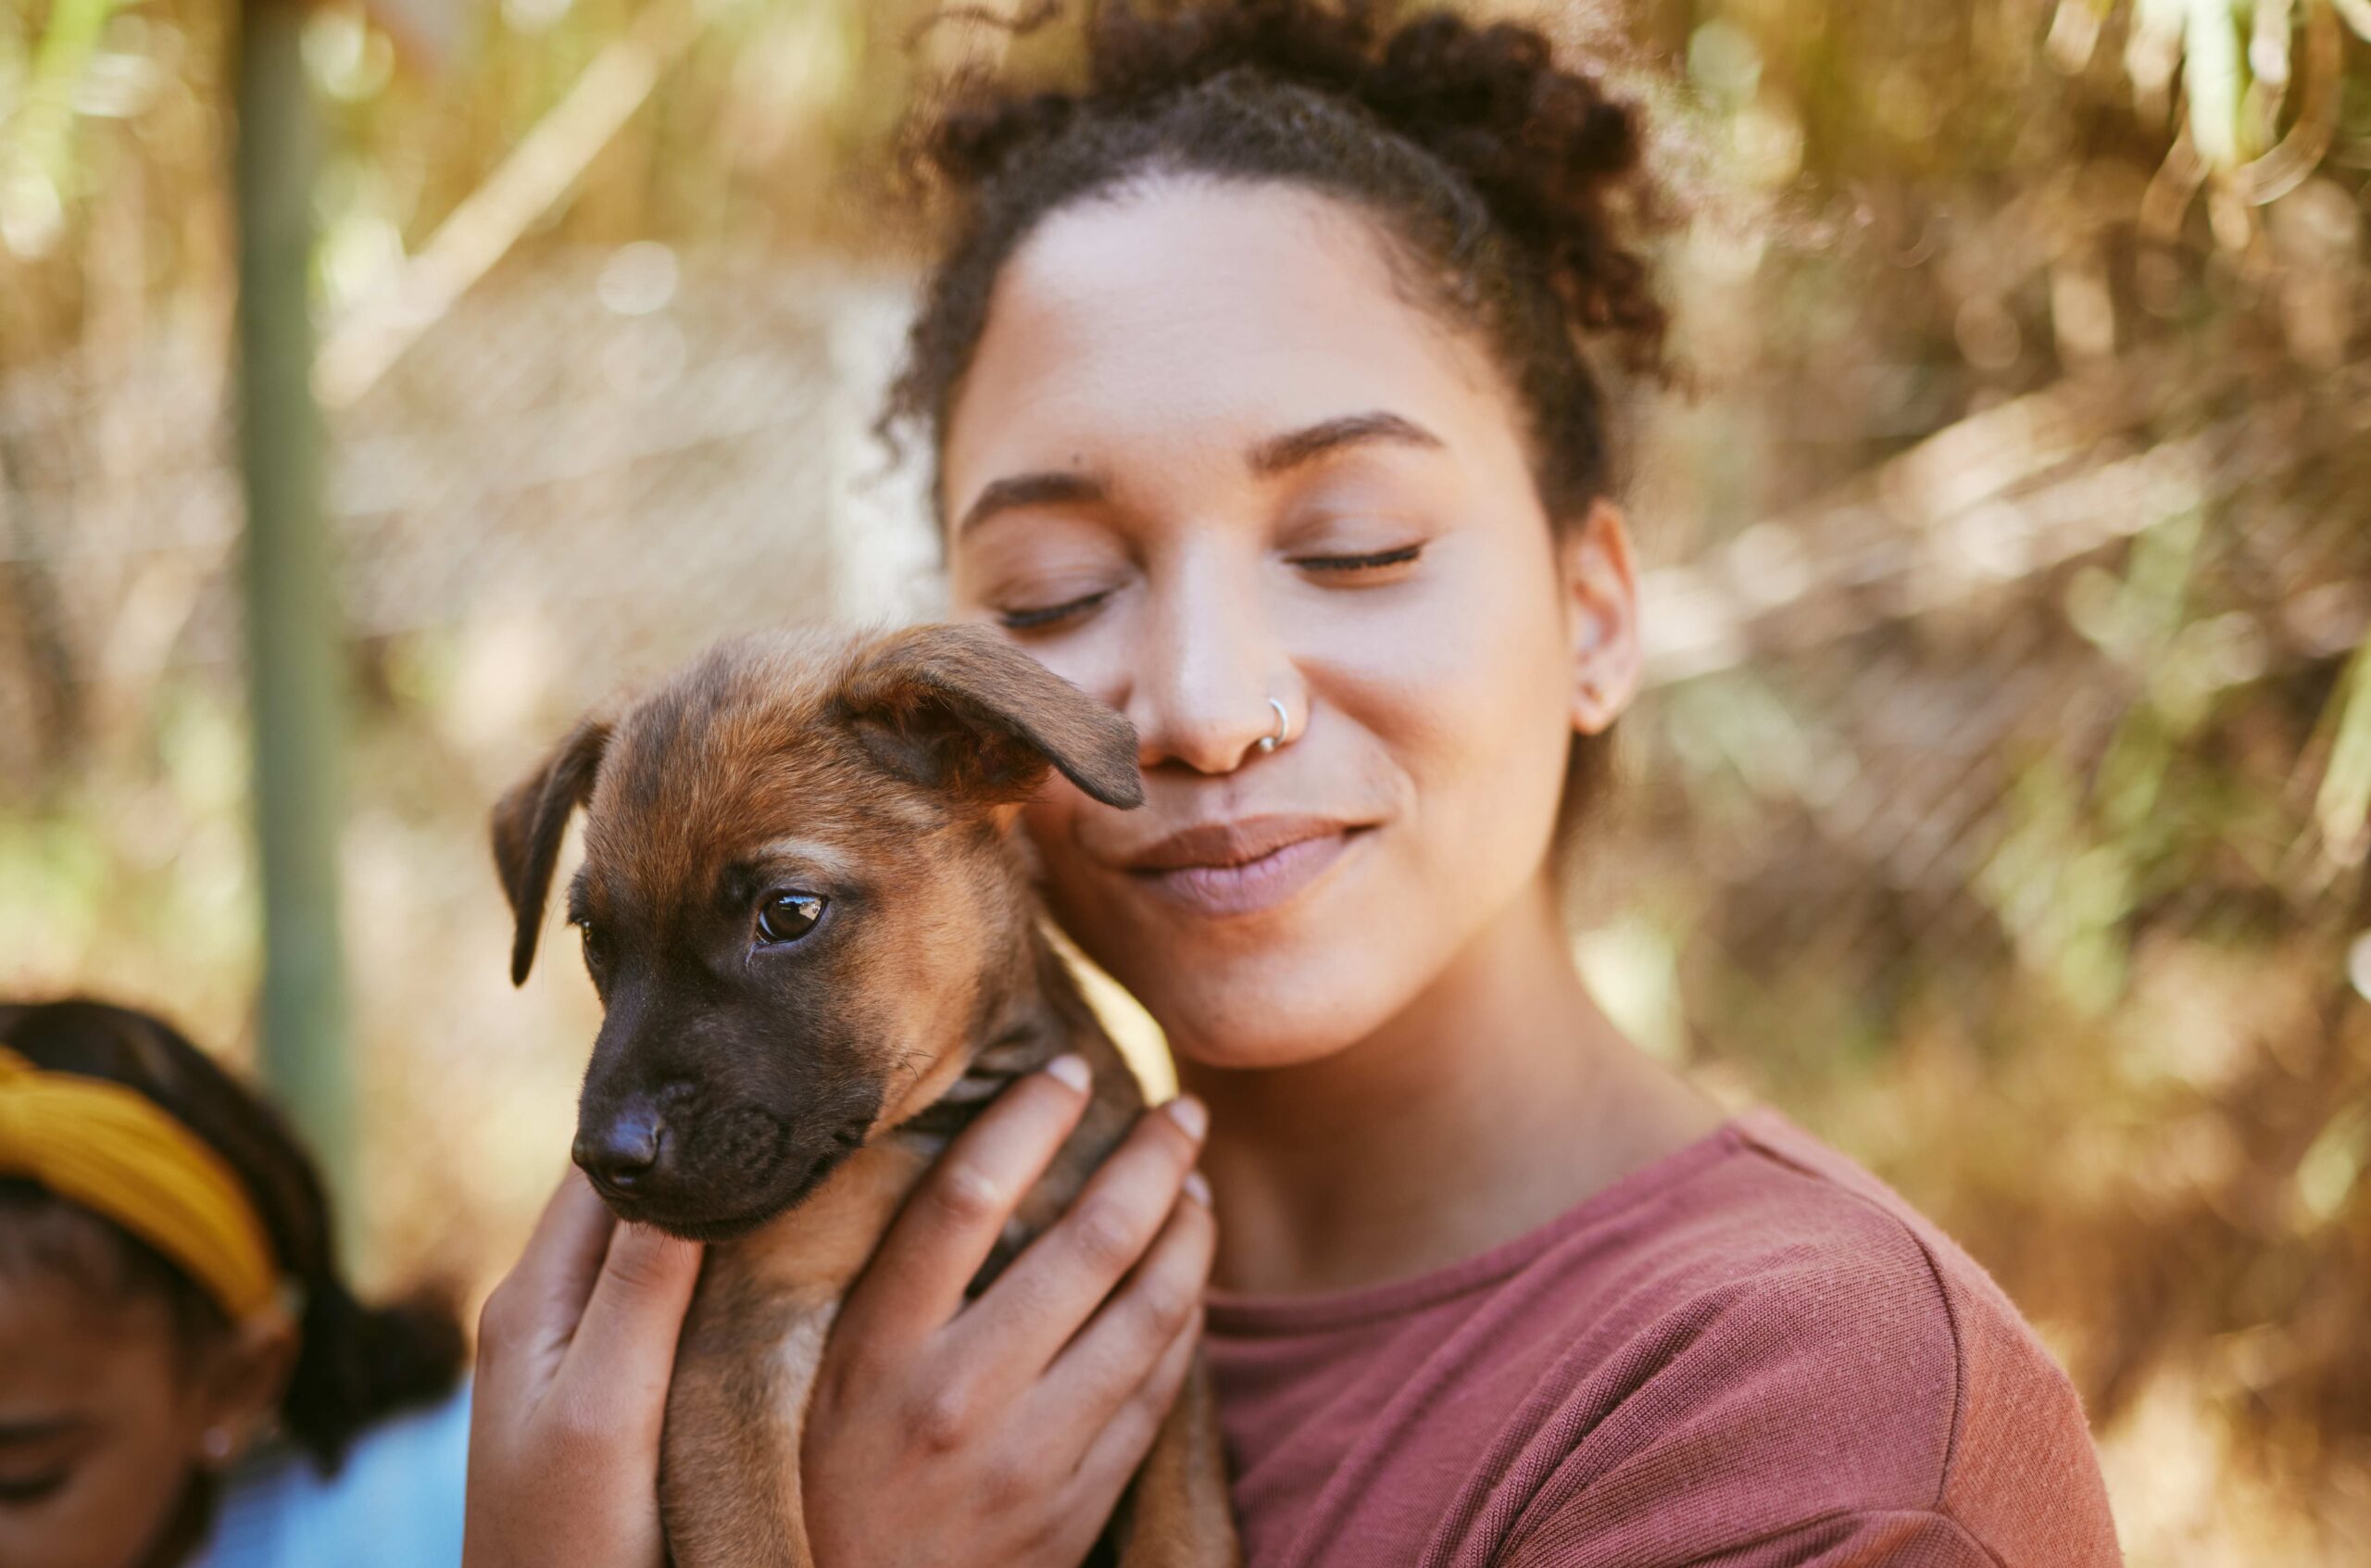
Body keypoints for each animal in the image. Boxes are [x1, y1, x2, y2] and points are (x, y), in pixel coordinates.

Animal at [488, 621, 1233, 1565]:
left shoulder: (1171, 1368)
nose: (605, 1156)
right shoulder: (738, 1354)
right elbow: (763, 1545)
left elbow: (1185, 1533)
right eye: (593, 935)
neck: (942, 1125)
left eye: (790, 911)